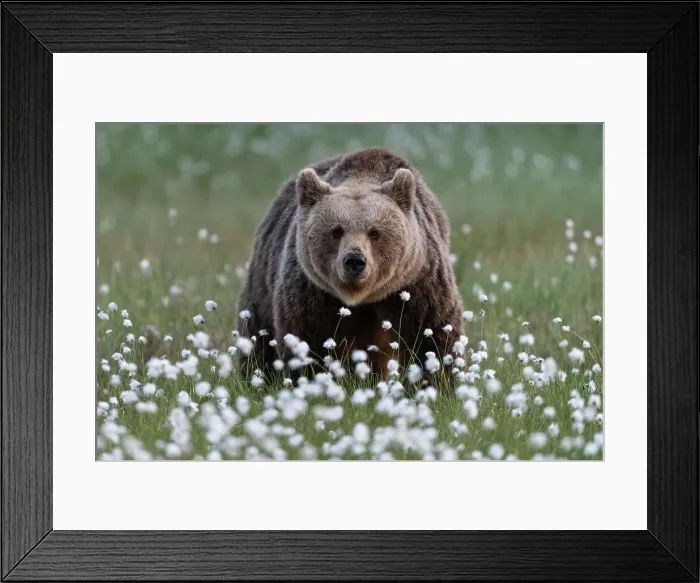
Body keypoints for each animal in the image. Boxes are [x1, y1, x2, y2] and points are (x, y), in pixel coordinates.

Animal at [236, 147, 464, 385]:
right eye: (336, 231)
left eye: (374, 232)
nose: (355, 260)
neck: (360, 298)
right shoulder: (312, 291)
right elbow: (308, 339)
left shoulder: (415, 282)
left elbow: (430, 334)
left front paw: (438, 381)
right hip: (262, 284)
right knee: (258, 335)